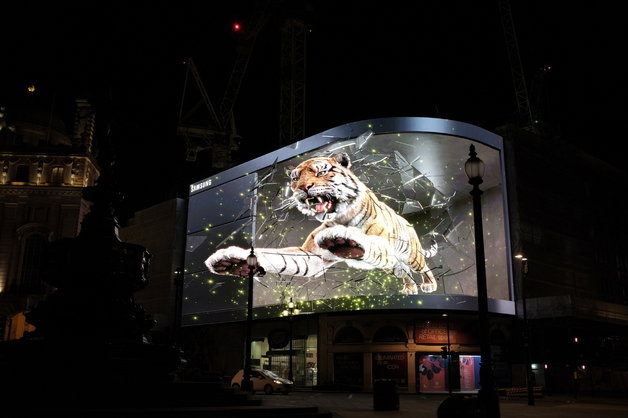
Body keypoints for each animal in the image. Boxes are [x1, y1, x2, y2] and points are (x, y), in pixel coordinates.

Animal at [205, 151, 436, 294]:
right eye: (295, 178)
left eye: (322, 171)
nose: (303, 187)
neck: (340, 217)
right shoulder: (312, 255)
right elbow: (278, 257)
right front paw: (233, 261)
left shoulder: (382, 242)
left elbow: (369, 242)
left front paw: (345, 242)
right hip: (394, 266)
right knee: (403, 272)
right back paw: (409, 288)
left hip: (412, 255)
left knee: (423, 268)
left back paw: (429, 285)